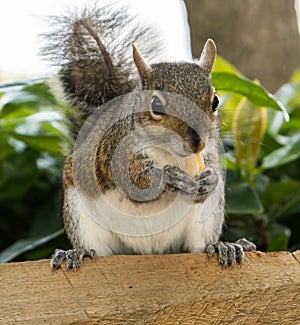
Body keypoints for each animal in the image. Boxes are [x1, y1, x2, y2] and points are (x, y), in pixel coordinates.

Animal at [44, 3, 255, 270]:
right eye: (155, 104)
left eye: (215, 101)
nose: (196, 142)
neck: (170, 153)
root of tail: (150, 251)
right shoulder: (113, 151)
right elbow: (133, 179)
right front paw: (167, 178)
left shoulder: (209, 151)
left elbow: (213, 168)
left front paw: (210, 179)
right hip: (81, 214)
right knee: (95, 248)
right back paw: (75, 253)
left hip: (207, 216)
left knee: (200, 245)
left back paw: (222, 247)